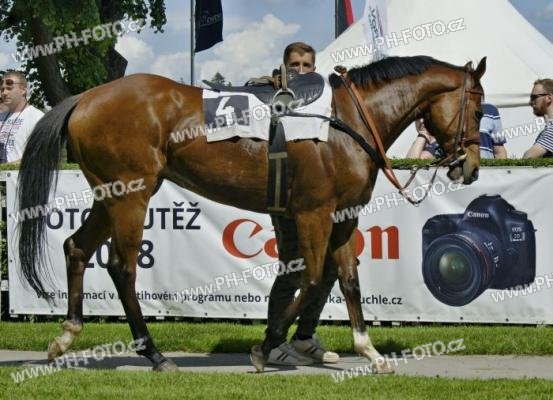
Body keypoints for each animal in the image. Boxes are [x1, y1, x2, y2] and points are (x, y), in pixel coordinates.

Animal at [16, 55, 485, 373]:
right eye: (480, 109)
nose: (470, 166)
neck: (346, 121)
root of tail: (86, 97)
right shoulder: (314, 212)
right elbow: (312, 278)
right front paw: (265, 347)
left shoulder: (343, 215)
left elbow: (348, 279)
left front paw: (368, 350)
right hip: (131, 196)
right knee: (121, 266)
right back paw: (154, 353)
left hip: (108, 195)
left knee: (77, 247)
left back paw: (65, 336)